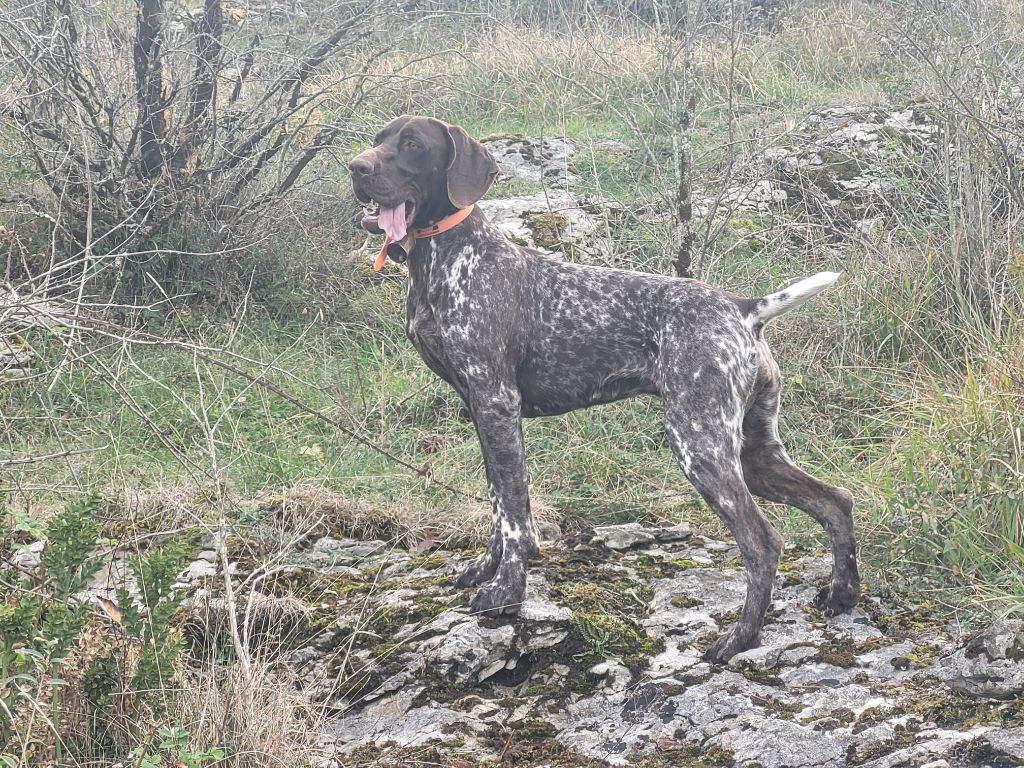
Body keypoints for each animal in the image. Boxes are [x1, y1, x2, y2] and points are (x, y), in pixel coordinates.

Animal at [348, 114, 860, 663]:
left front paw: (507, 590)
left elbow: (514, 513)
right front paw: (486, 569)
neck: (447, 258)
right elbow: (497, 503)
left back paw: (739, 638)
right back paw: (842, 595)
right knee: (836, 501)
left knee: (763, 542)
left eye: (412, 145)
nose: (356, 167)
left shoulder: (496, 403)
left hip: (699, 444)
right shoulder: (480, 410)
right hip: (753, 451)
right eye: (378, 140)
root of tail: (744, 309)